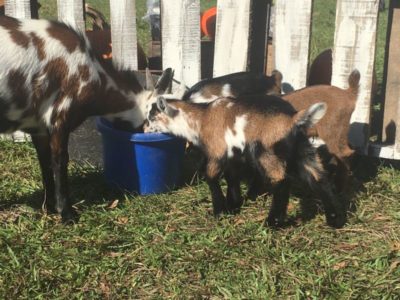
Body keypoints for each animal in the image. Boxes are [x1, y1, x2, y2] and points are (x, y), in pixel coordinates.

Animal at [0, 16, 172, 223]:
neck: (94, 75)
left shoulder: (39, 128)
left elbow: (45, 162)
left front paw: (48, 207)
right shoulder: (60, 117)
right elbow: (59, 161)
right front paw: (66, 213)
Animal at [146, 95, 346, 229]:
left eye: (151, 117)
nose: (145, 130)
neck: (200, 119)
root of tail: (293, 119)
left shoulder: (217, 150)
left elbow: (211, 176)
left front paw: (219, 212)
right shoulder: (232, 155)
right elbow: (231, 177)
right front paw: (233, 205)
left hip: (264, 150)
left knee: (281, 179)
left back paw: (272, 222)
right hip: (303, 150)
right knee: (318, 178)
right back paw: (335, 219)